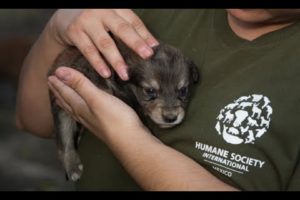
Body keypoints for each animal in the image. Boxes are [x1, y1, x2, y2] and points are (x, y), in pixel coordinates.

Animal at [48, 38, 199, 181]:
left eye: (183, 91)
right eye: (150, 91)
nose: (170, 117)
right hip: (60, 109)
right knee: (64, 140)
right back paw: (73, 167)